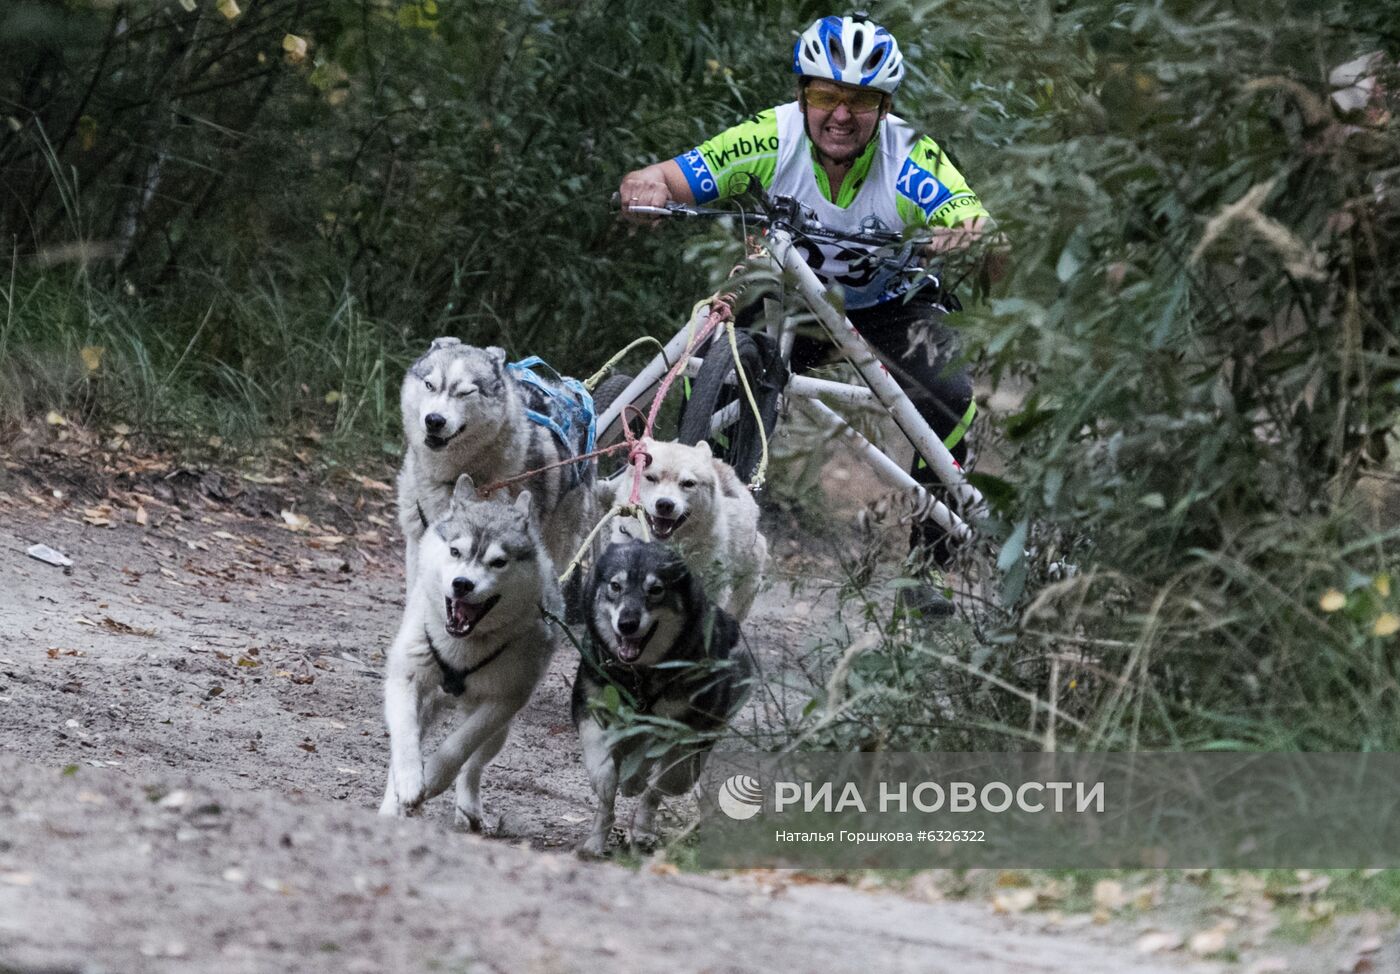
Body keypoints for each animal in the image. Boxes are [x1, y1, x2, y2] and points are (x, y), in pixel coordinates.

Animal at [383, 473, 562, 828]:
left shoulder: (504, 701)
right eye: (455, 550)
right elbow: (405, 740)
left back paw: (469, 807)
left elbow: (458, 747)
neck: (462, 648)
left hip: (498, 732)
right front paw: (410, 780)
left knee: (473, 766)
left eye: (499, 562)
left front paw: (433, 776)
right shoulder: (405, 678)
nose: (463, 584)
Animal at [574, 542, 756, 856]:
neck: (640, 677)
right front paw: (606, 785)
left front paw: (643, 826)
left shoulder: (689, 729)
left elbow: (667, 782)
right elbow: (602, 767)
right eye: (615, 586)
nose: (627, 623)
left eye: (656, 589)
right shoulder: (590, 704)